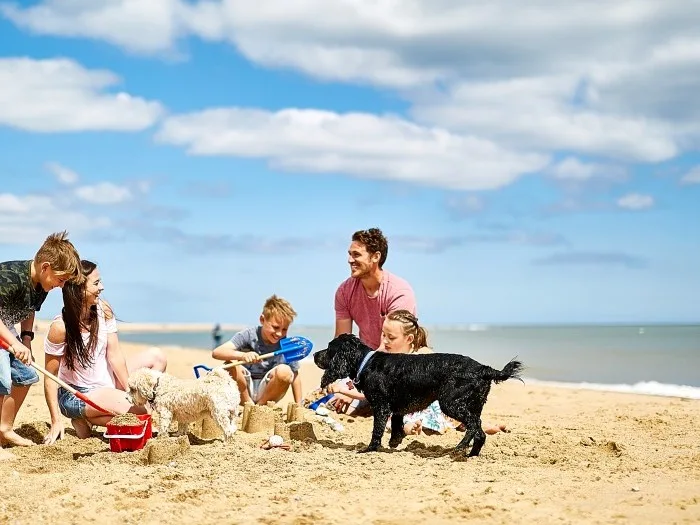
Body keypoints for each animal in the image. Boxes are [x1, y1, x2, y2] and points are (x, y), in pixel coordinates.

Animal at [314, 334, 524, 456]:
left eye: (329, 348)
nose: (315, 355)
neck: (366, 363)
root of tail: (483, 368)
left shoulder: (381, 407)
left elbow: (377, 431)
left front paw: (369, 449)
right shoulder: (396, 407)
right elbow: (396, 423)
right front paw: (395, 441)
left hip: (451, 403)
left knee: (474, 426)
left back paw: (460, 448)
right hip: (474, 404)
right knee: (479, 429)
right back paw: (471, 453)